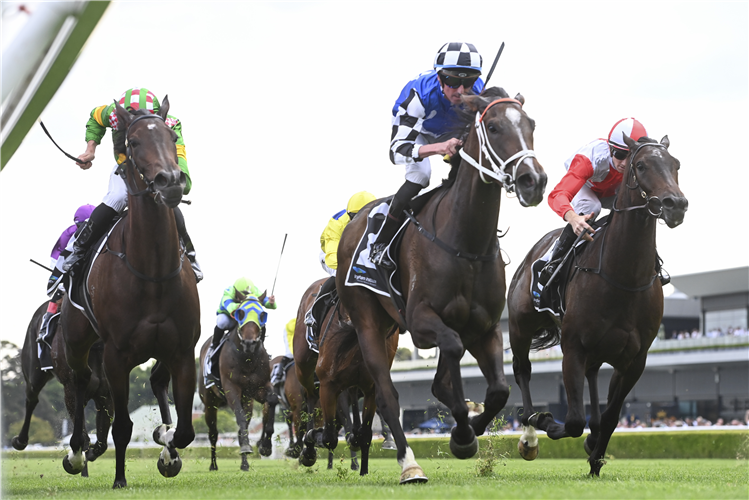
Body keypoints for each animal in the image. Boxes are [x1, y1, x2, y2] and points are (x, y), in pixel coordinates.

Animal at [12, 300, 111, 476]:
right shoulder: (71, 392)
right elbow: (83, 436)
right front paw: (76, 462)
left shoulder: (104, 396)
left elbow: (101, 443)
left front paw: (88, 457)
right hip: (34, 375)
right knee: (31, 399)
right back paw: (20, 440)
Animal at [61, 98, 200, 488]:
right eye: (134, 142)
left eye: (172, 137)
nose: (171, 181)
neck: (152, 272)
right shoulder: (116, 355)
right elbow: (122, 425)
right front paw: (119, 478)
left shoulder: (183, 351)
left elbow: (185, 430)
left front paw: (167, 449)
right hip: (77, 341)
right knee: (80, 382)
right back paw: (76, 452)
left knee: (155, 381)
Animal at [197, 296, 280, 472]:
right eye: (240, 313)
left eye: (262, 314)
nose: (249, 343)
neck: (247, 359)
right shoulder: (231, 389)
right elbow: (240, 417)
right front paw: (249, 447)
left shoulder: (258, 388)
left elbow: (272, 400)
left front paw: (265, 446)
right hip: (209, 403)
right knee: (213, 433)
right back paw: (213, 464)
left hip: (247, 401)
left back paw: (244, 463)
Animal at [336, 88, 548, 482]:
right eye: (494, 127)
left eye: (531, 125)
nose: (534, 181)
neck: (465, 243)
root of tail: (354, 222)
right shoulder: (422, 321)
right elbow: (449, 351)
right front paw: (462, 433)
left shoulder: (485, 328)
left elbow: (498, 390)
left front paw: (469, 431)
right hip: (367, 322)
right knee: (387, 395)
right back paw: (409, 464)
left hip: (393, 328)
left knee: (436, 382)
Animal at [506, 132, 688, 472]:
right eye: (641, 165)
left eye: (676, 164)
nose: (676, 205)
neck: (624, 276)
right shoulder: (573, 347)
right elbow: (572, 421)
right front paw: (546, 422)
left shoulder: (634, 360)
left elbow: (611, 416)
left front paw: (595, 455)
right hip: (520, 326)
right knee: (522, 369)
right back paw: (529, 433)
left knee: (591, 378)